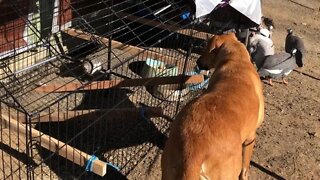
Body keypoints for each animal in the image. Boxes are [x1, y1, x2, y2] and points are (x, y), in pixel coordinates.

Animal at [161, 33, 264, 179]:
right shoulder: (250, 137)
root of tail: (192, 156)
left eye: (206, 49)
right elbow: (245, 167)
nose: (198, 62)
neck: (236, 59)